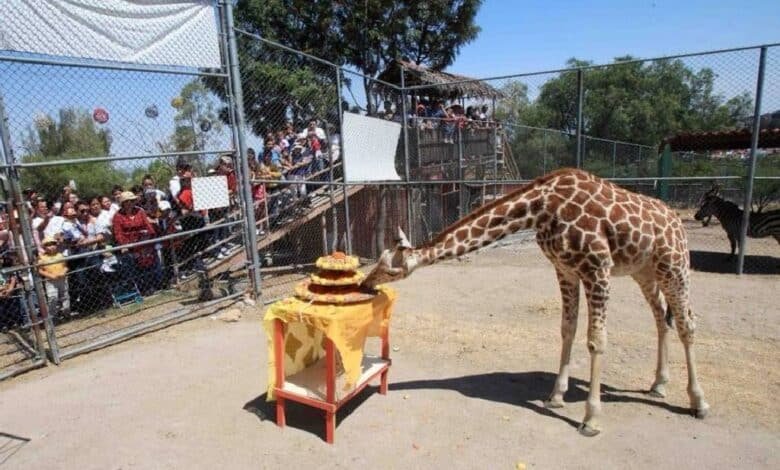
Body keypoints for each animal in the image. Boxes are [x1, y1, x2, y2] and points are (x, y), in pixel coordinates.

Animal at [362, 168, 709, 436]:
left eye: (387, 268)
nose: (365, 283)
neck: (542, 207)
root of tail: (677, 220)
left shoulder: (597, 267)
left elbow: (596, 340)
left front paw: (591, 419)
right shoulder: (565, 269)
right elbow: (567, 329)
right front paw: (556, 396)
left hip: (674, 265)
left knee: (687, 323)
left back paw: (699, 402)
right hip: (645, 271)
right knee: (661, 316)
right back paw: (659, 384)